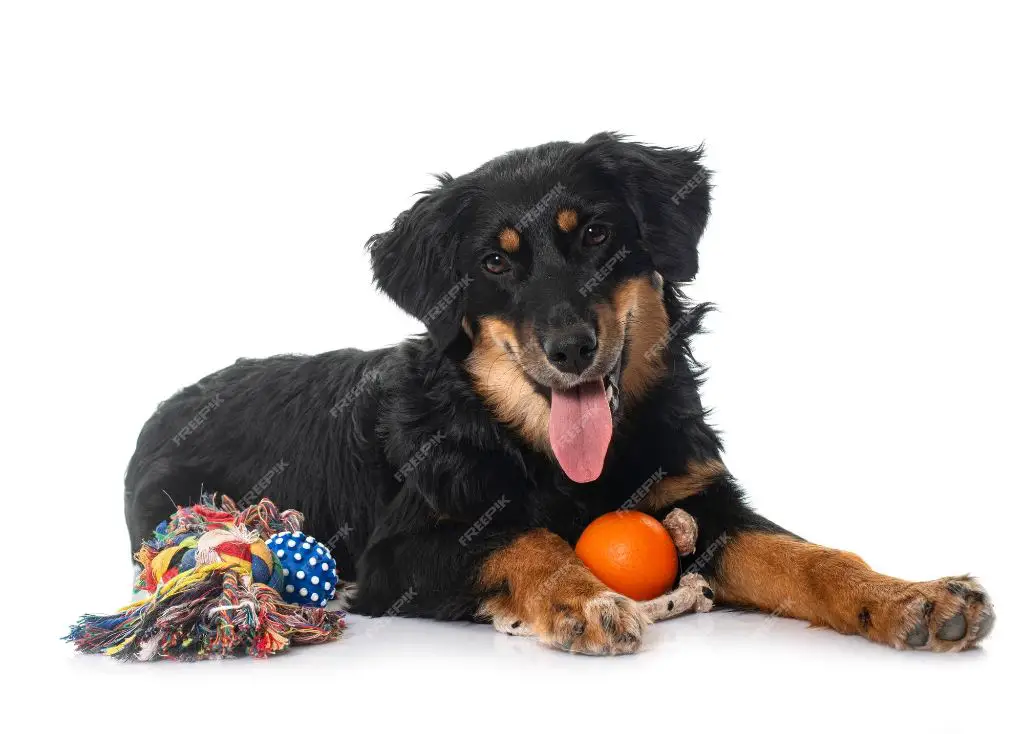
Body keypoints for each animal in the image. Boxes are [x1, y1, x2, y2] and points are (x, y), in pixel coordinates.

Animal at [119, 132, 991, 651]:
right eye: (495, 263)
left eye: (598, 234)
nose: (572, 349)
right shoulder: (399, 551)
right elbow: (523, 537)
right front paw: (579, 598)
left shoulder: (702, 502)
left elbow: (807, 557)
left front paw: (911, 597)